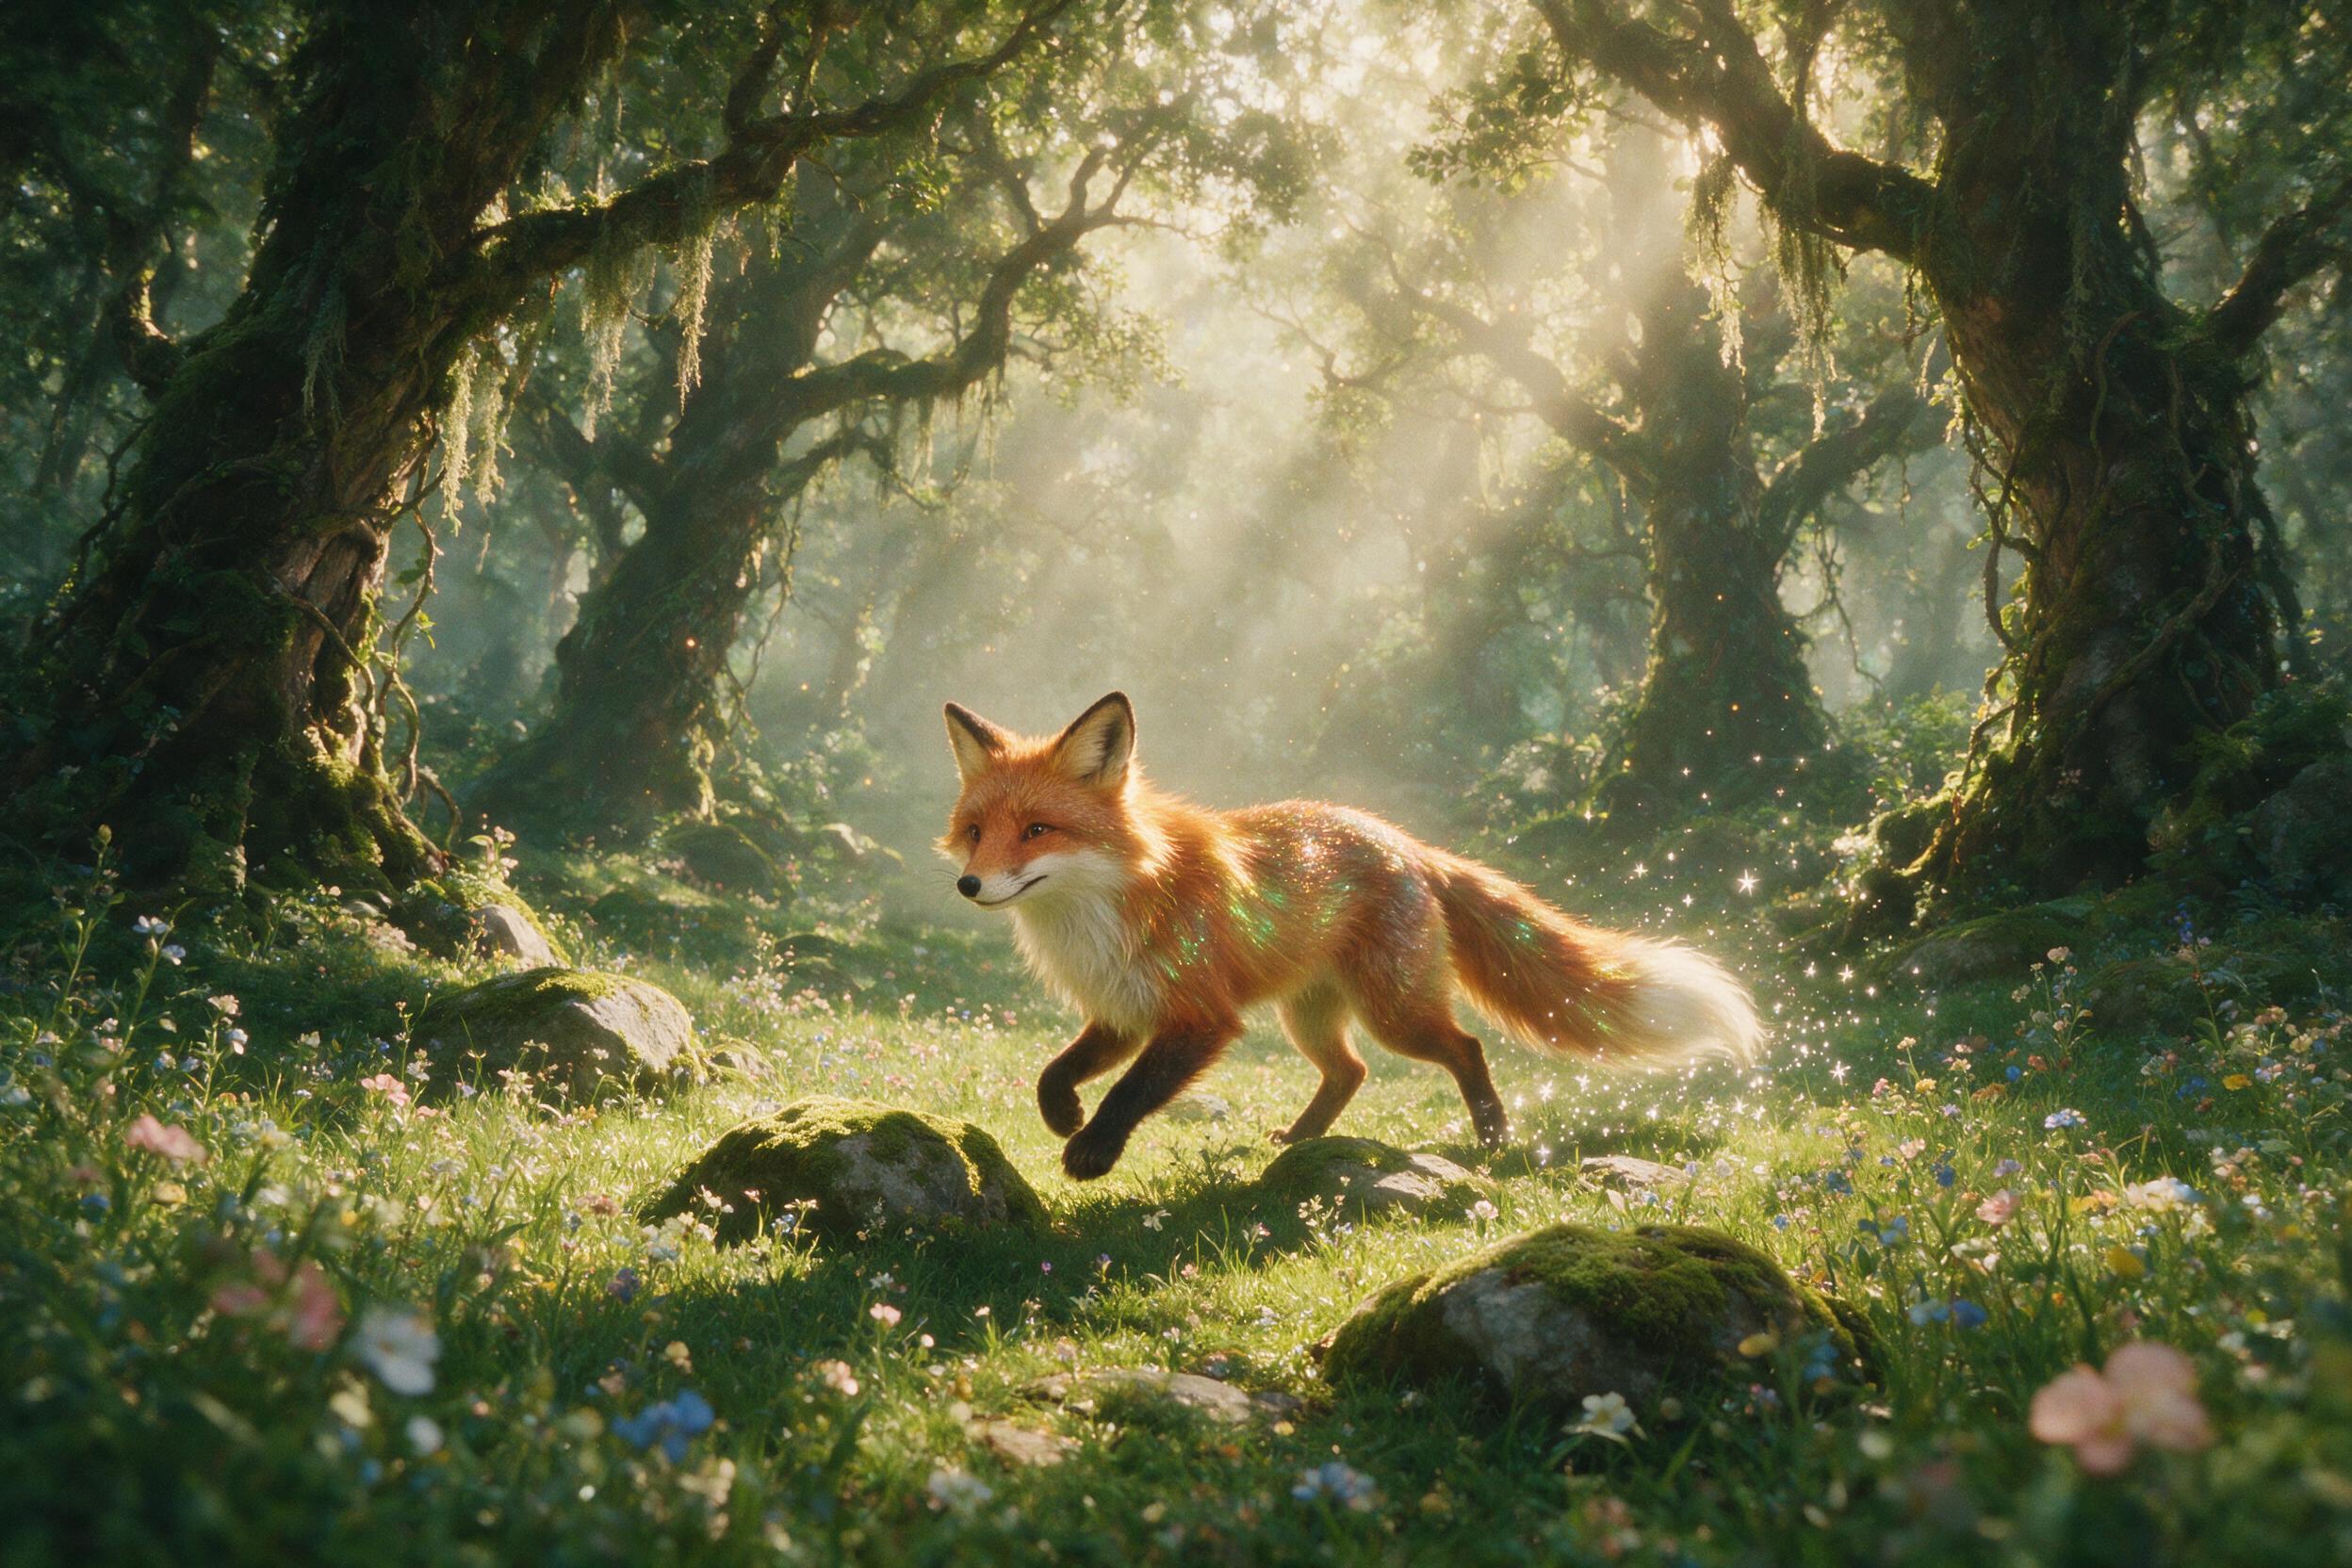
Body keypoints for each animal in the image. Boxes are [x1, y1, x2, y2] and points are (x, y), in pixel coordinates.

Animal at [940, 691, 1762, 1180]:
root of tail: (1405, 843)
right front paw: (1063, 1115)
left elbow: (1131, 1090)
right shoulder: (1123, 1009)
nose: (969, 886)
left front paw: (1093, 1148)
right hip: (1307, 1016)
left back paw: (1493, 1138)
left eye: (1037, 830)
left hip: (1392, 1013)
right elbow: (1057, 1071)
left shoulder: (1200, 1016)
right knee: (1351, 1072)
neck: (1106, 903)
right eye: (977, 832)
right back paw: (1302, 1140)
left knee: (1465, 1048)